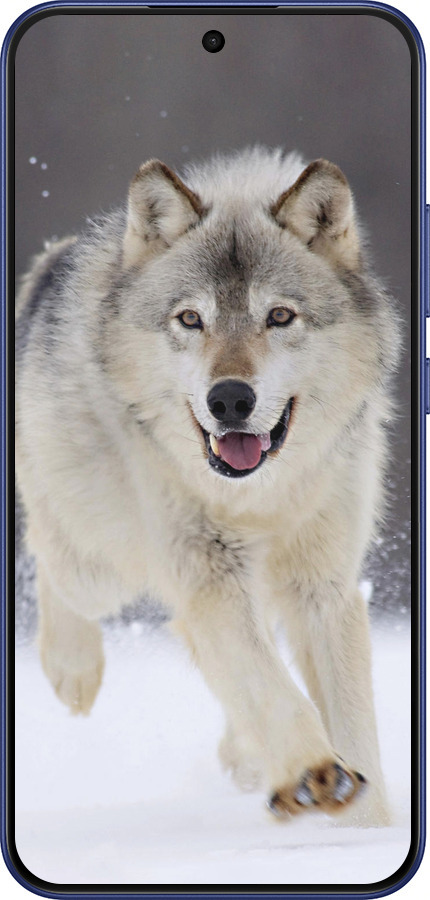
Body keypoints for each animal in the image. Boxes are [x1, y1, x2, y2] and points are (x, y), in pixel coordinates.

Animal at [15, 147, 399, 826]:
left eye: (279, 316)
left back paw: (244, 756)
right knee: (49, 555)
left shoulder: (323, 586)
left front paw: (367, 827)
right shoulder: (208, 573)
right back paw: (73, 671)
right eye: (191, 319)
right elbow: (269, 685)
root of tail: (53, 260)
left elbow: (350, 722)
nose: (230, 400)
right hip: (101, 565)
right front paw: (313, 773)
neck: (260, 497)